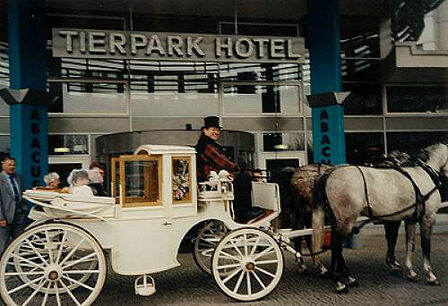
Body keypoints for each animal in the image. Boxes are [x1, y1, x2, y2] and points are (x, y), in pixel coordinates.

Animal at [312, 143, 448, 292]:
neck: (424, 173)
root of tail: (328, 174)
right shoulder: (428, 218)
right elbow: (425, 246)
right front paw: (431, 276)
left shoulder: (410, 220)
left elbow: (410, 245)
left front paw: (411, 272)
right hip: (347, 221)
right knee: (337, 246)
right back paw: (339, 283)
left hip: (338, 221)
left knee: (336, 246)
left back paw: (349, 278)